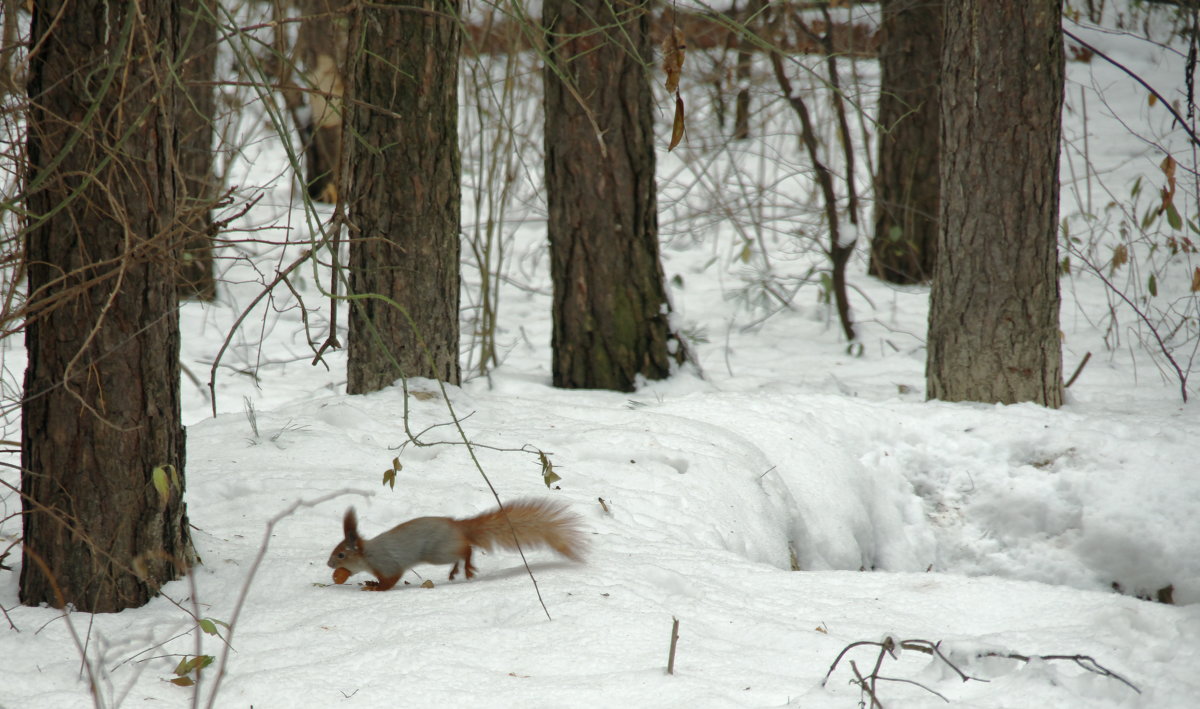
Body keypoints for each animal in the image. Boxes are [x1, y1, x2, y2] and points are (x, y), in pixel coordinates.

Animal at [324, 496, 585, 590]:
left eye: (341, 555)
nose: (328, 565)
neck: (367, 556)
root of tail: (457, 525)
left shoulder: (388, 564)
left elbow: (390, 581)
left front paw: (375, 587)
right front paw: (369, 581)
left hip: (437, 552)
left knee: (466, 549)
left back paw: (466, 568)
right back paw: (456, 571)